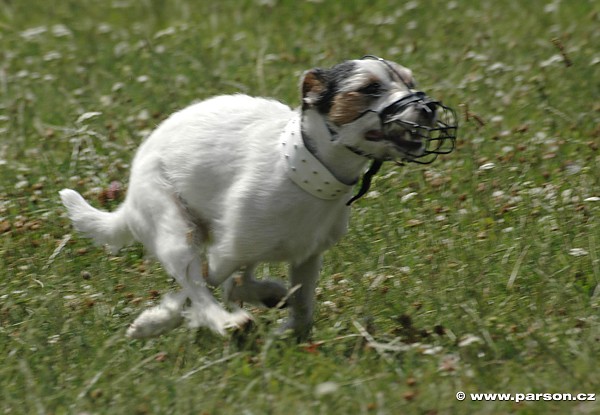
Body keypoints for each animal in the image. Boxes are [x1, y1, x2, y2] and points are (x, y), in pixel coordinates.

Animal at [58, 55, 458, 340]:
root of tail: (128, 199)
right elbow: (195, 291)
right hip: (176, 230)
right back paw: (225, 322)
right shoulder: (222, 255)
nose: (429, 108)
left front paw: (285, 323)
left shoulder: (306, 257)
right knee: (199, 284)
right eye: (370, 88)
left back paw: (262, 295)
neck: (303, 173)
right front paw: (157, 321)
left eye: (409, 82)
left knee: (237, 281)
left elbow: (301, 306)